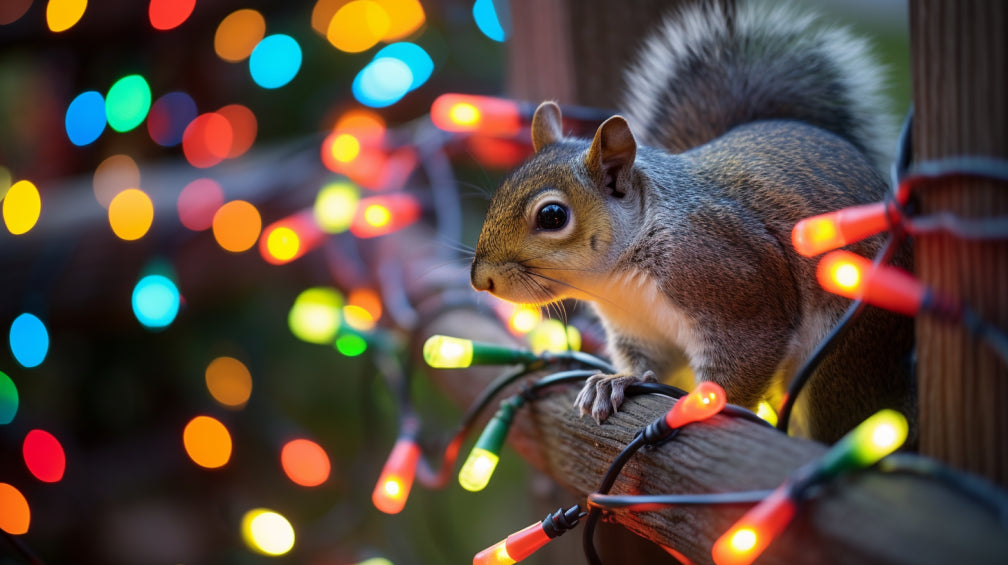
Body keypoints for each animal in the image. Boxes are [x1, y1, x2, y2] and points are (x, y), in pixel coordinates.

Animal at [469, 0, 915, 444]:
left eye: (553, 216)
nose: (480, 280)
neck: (619, 276)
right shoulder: (637, 327)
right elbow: (647, 363)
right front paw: (614, 382)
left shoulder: (733, 284)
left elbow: (742, 362)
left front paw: (701, 404)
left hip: (841, 358)